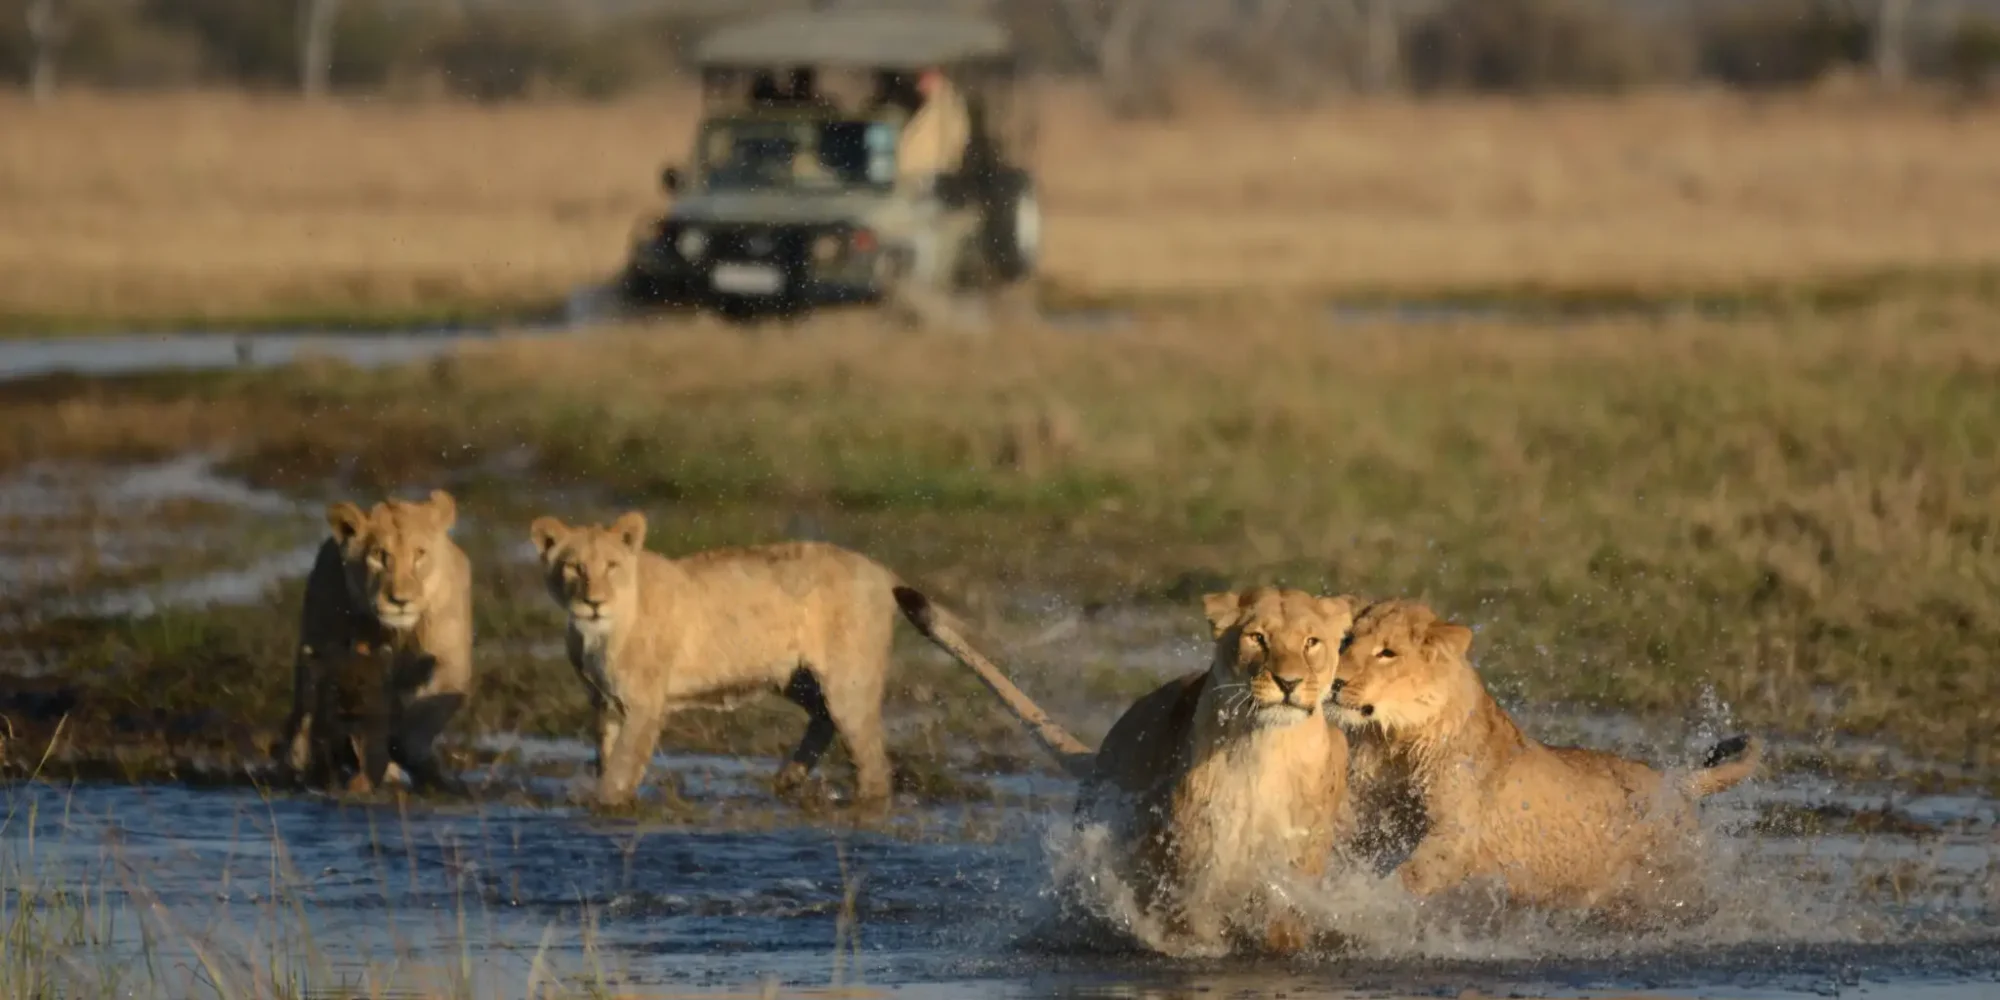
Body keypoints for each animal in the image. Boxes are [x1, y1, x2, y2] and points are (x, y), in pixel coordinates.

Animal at [276, 489, 473, 794]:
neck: (398, 632)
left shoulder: (452, 661)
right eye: (380, 555)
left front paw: (415, 758)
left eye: (420, 554)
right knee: (304, 711)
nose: (400, 600)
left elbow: (427, 713)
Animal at [528, 512, 903, 810]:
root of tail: (881, 571)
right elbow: (607, 757)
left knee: (873, 764)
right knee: (823, 720)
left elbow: (621, 766)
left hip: (849, 686)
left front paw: (605, 802)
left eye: (611, 566)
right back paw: (787, 778)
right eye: (574, 567)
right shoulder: (604, 702)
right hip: (795, 679)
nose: (594, 603)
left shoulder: (644, 705)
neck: (598, 634)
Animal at [894, 584, 1359, 956]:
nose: (1288, 682)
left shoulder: (1295, 866)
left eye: (1312, 642)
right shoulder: (1190, 863)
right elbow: (1191, 926)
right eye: (1257, 638)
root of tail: (1107, 744)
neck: (1265, 748)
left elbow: (1284, 925)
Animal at [1330, 599, 1762, 917]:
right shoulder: (1367, 817)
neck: (1394, 740)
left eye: (1387, 652)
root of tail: (1675, 785)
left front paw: (1361, 902)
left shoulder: (1457, 833)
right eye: (1346, 640)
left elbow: (1409, 876)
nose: (1333, 682)